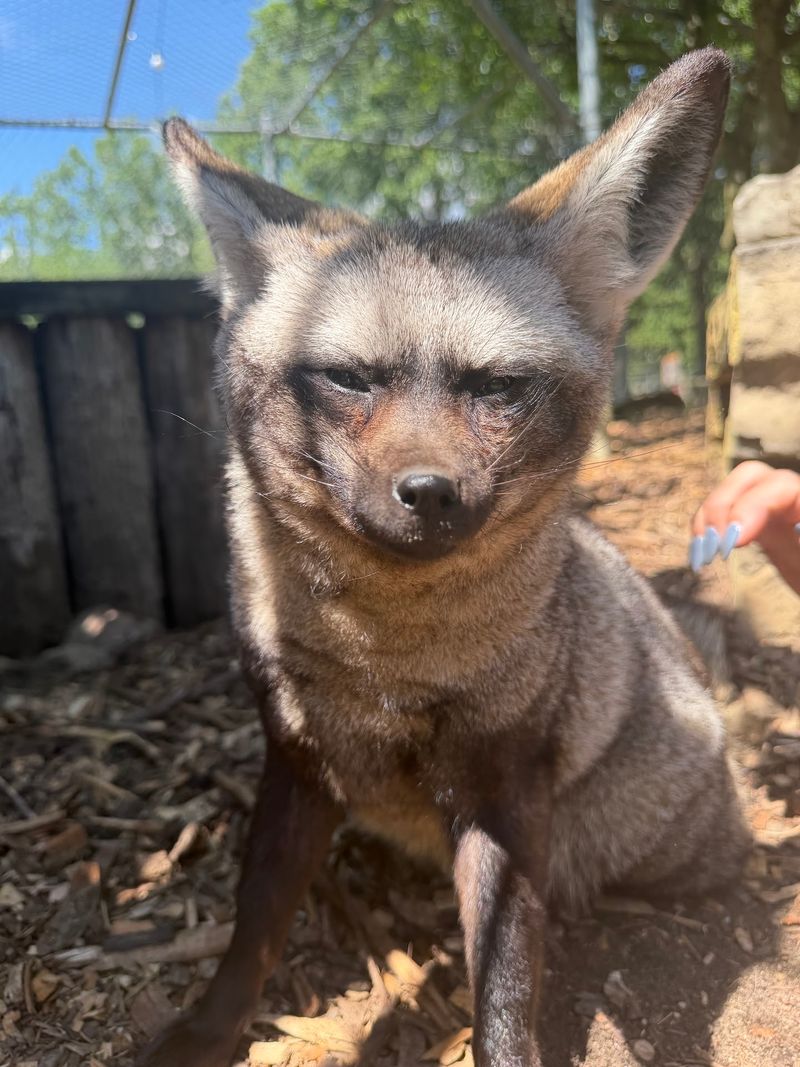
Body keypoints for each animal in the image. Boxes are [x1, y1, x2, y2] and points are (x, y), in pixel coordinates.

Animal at [139, 48, 749, 1067]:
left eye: (497, 387)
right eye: (347, 378)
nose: (428, 492)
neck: (393, 667)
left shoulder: (504, 788)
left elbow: (503, 980)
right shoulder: (294, 757)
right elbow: (254, 920)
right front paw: (208, 1030)